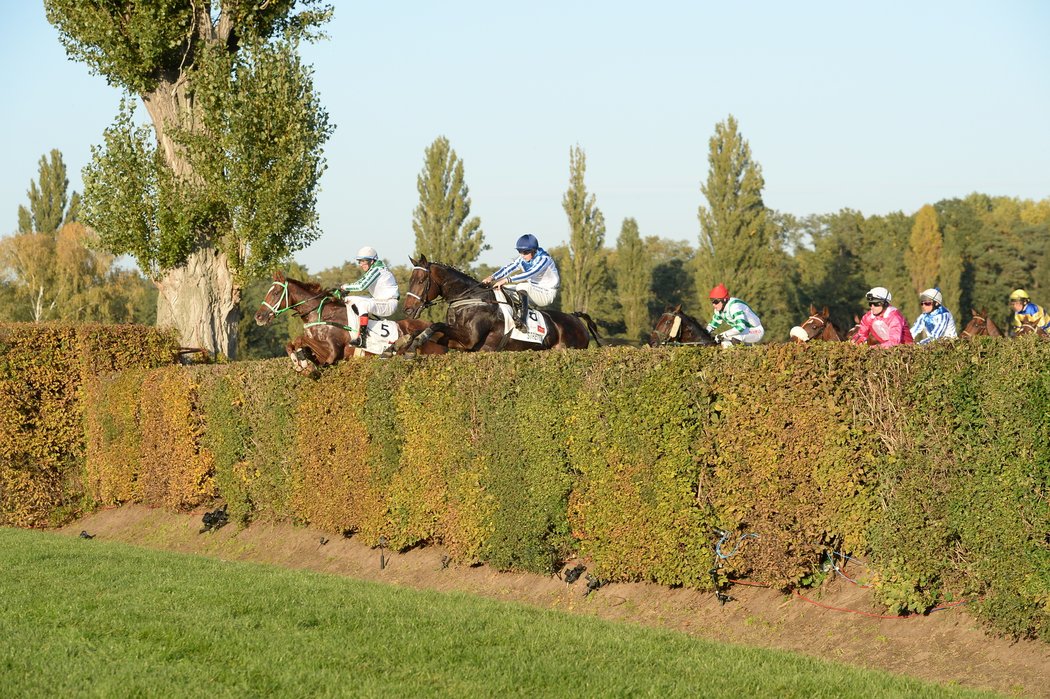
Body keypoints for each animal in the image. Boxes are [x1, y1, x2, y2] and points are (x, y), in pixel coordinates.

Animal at [259, 270, 451, 375]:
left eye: (275, 293)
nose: (259, 317)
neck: (322, 315)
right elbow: (293, 343)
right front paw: (299, 359)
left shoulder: (333, 353)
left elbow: (301, 339)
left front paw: (301, 362)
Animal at [398, 256, 600, 350]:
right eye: (410, 280)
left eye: (421, 281)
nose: (407, 310)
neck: (469, 299)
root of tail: (575, 318)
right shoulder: (458, 343)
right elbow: (428, 329)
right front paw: (406, 341)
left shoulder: (468, 340)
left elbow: (436, 325)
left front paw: (415, 343)